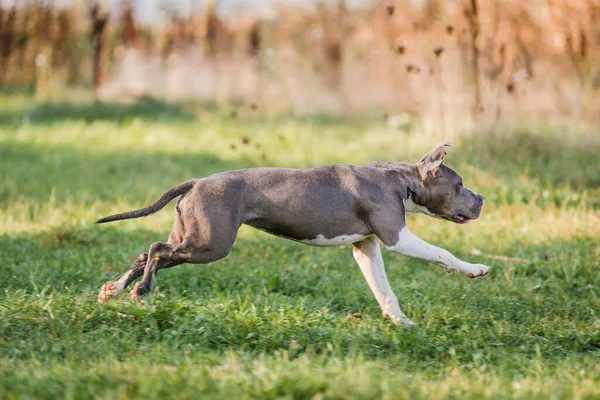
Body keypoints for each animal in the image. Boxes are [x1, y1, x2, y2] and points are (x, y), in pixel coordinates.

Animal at [97, 141, 488, 324]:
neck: (402, 181)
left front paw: (400, 321)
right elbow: (442, 253)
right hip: (209, 244)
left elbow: (383, 289)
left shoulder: (366, 246)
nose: (482, 199)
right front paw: (475, 269)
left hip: (193, 238)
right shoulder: (397, 238)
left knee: (147, 253)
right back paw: (140, 291)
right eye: (460, 185)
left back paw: (113, 289)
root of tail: (196, 182)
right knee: (156, 248)